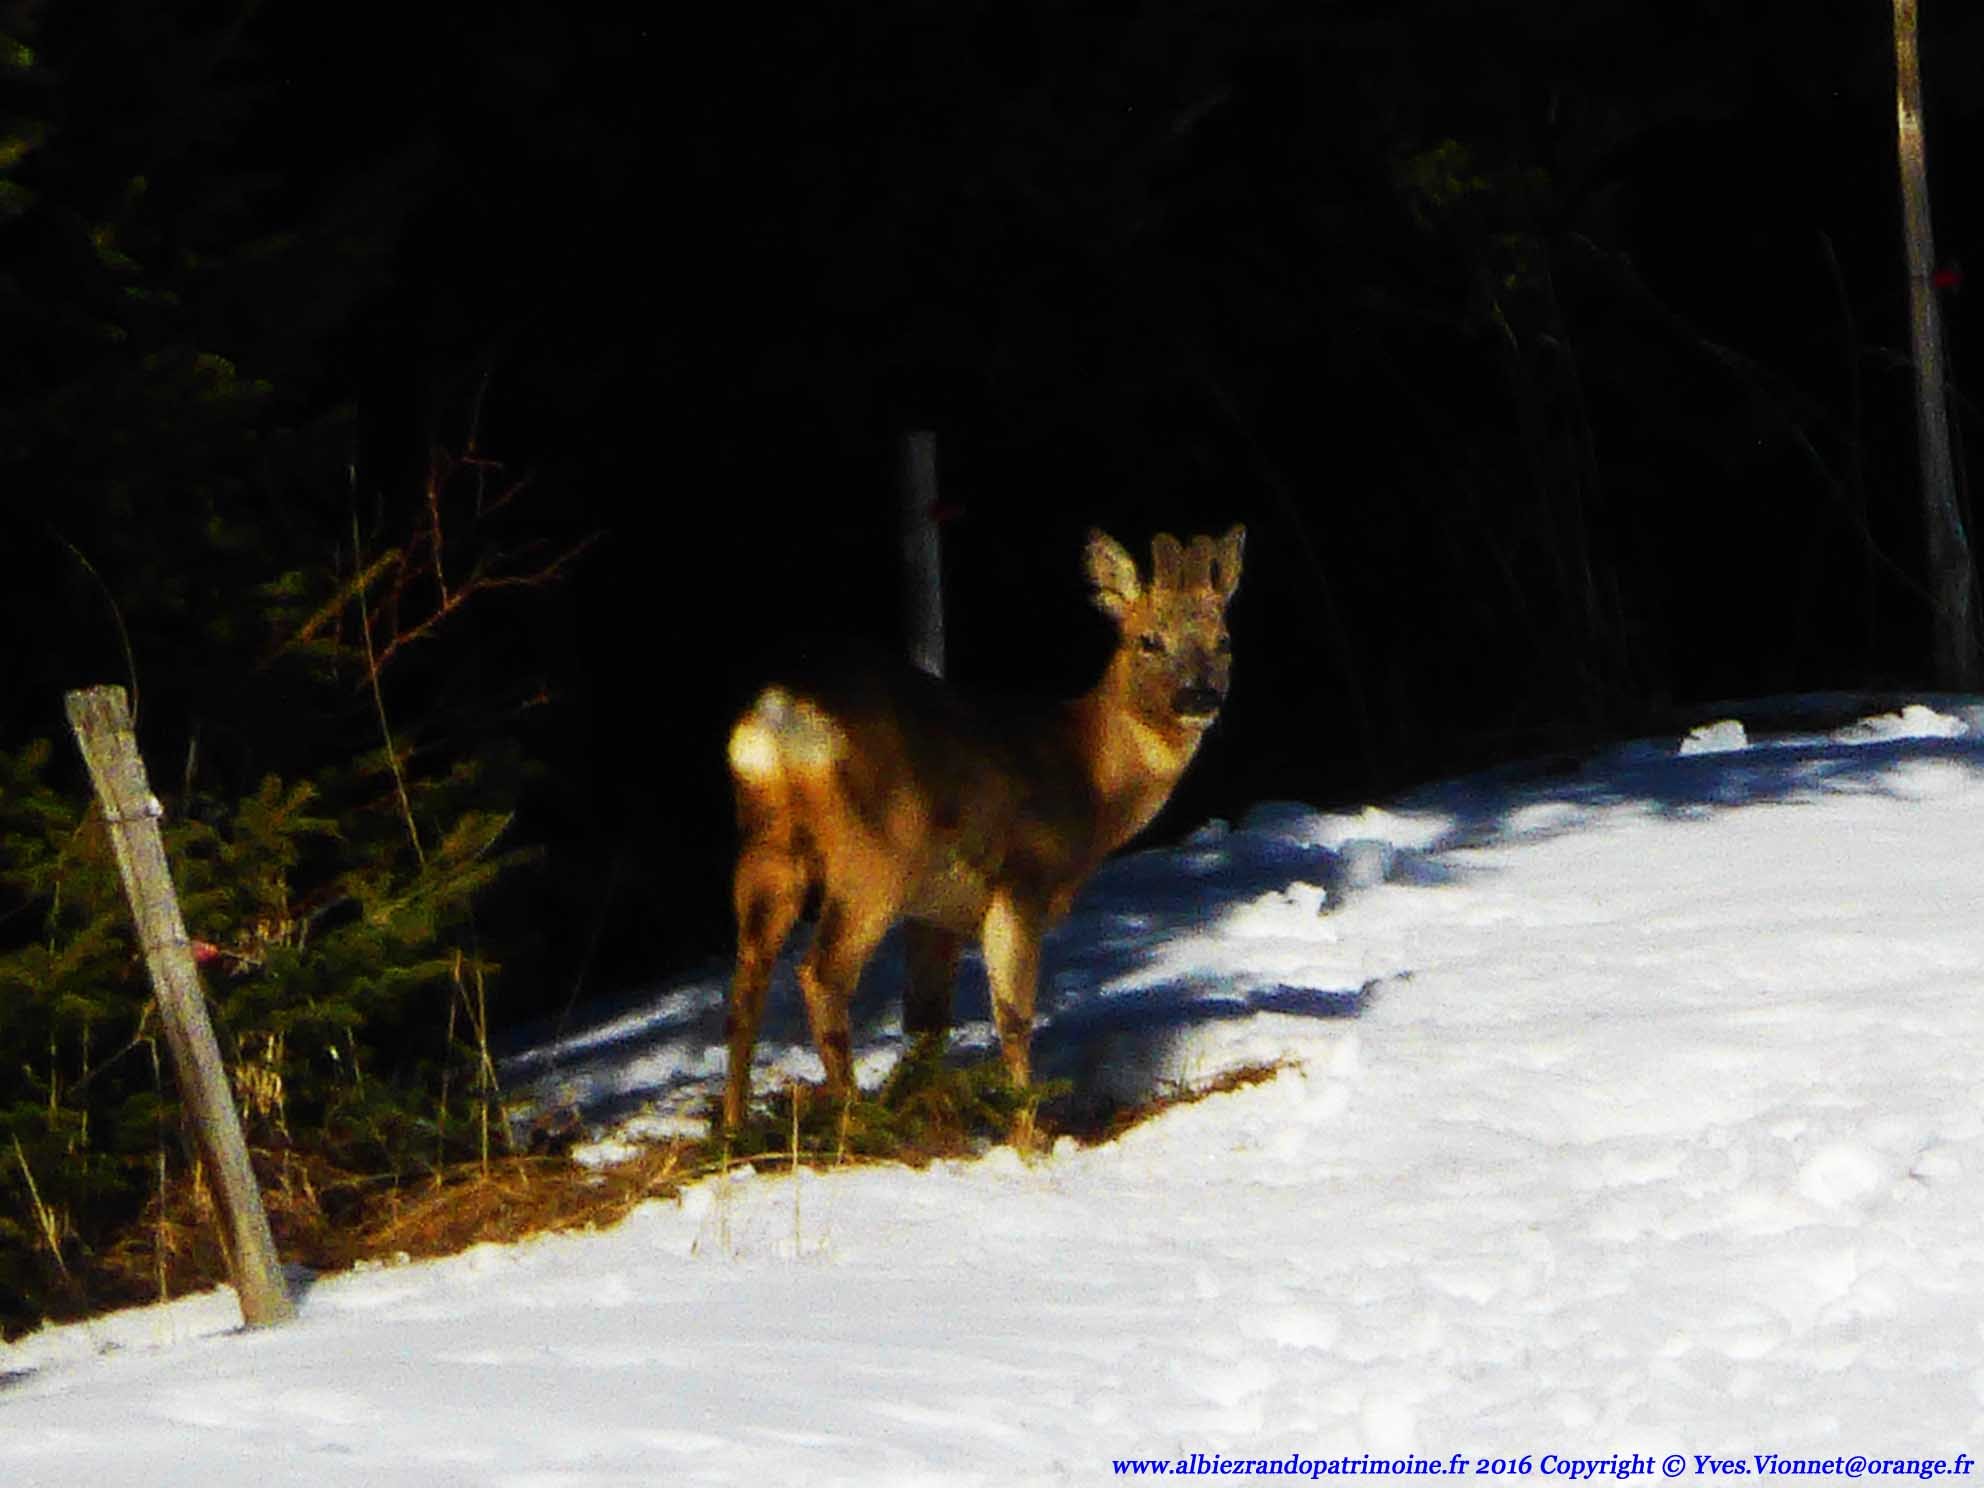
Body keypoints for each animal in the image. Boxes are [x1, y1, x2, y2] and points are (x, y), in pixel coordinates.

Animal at [722, 531, 1238, 1126]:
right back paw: (859, 1120)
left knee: (748, 979)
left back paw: (734, 1128)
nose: (1199, 697)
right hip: (873, 855)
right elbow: (1014, 1016)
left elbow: (928, 1022)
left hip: (766, 843)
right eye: (1149, 640)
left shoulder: (936, 913)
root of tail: (778, 717)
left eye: (1223, 641)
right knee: (821, 975)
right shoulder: (1022, 879)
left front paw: (934, 1107)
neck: (1090, 776)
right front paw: (1026, 1129)